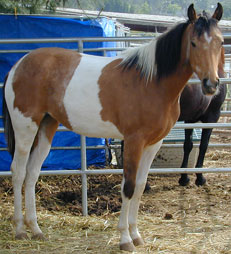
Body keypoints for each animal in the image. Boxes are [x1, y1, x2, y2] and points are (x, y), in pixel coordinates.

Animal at [2, 3, 225, 252]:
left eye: (220, 42)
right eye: (194, 43)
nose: (211, 85)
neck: (150, 82)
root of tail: (18, 66)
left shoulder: (153, 144)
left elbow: (140, 186)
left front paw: (136, 235)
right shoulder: (134, 141)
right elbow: (128, 187)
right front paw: (125, 239)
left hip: (46, 126)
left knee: (32, 173)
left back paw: (36, 229)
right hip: (25, 128)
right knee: (18, 171)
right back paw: (20, 230)